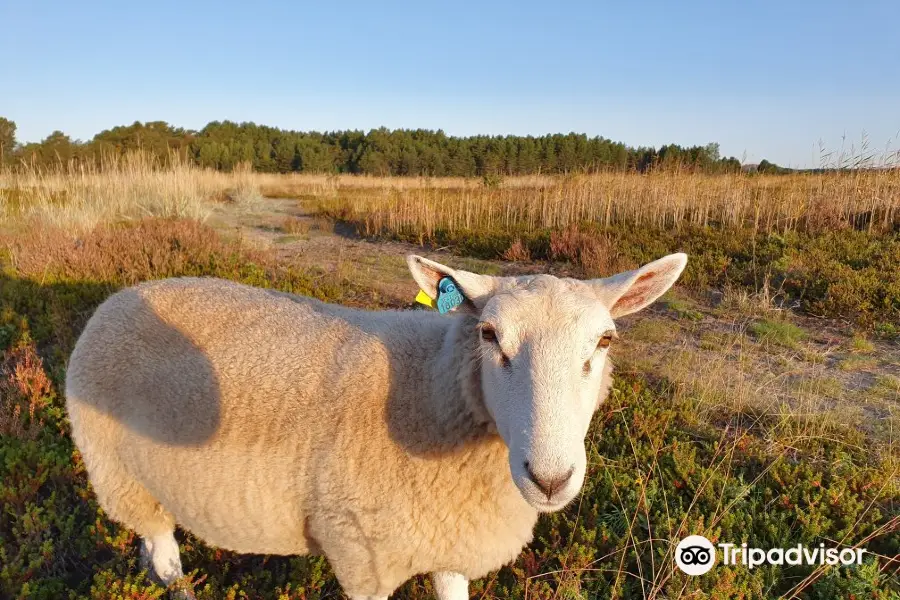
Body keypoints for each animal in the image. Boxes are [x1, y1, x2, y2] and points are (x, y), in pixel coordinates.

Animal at [67, 252, 684, 600]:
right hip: (116, 471)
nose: (550, 478)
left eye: (605, 341)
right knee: (164, 550)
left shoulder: (449, 543)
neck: (429, 390)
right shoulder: (362, 555)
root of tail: (120, 297)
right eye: (488, 335)